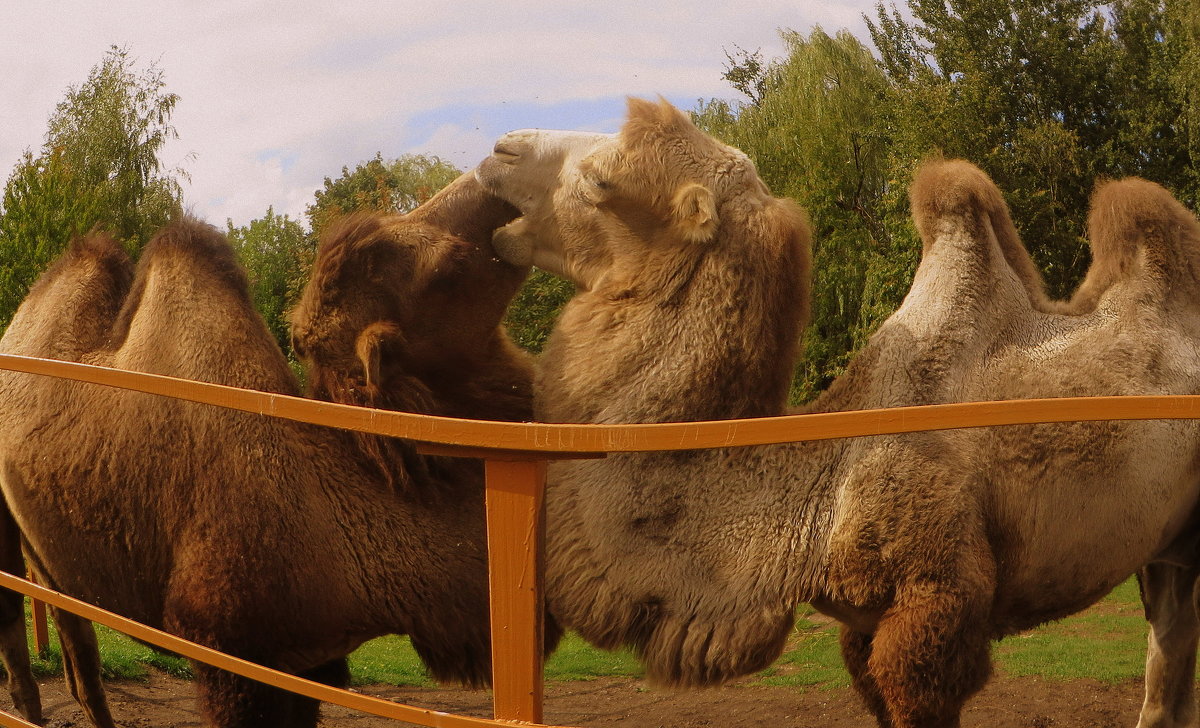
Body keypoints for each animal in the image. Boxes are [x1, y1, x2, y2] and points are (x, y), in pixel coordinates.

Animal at [472, 99, 1200, 728]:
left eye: (603, 180)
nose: (499, 149)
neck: (816, 493)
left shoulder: (936, 606)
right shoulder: (864, 625)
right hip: (1167, 545)